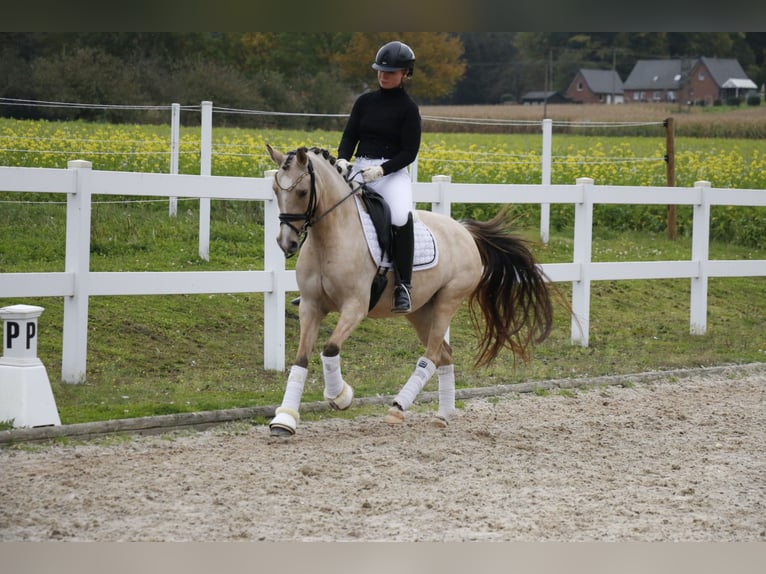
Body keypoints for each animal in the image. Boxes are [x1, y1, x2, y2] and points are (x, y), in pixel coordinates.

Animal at [268, 145, 556, 436]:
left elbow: (329, 349)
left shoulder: (355, 307)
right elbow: (301, 360)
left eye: (302, 192)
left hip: (447, 301)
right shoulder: (311, 306)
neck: (330, 237)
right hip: (419, 310)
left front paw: (341, 396)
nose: (286, 243)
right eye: (275, 190)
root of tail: (463, 230)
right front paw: (285, 420)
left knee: (432, 354)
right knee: (444, 354)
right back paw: (443, 415)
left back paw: (398, 407)